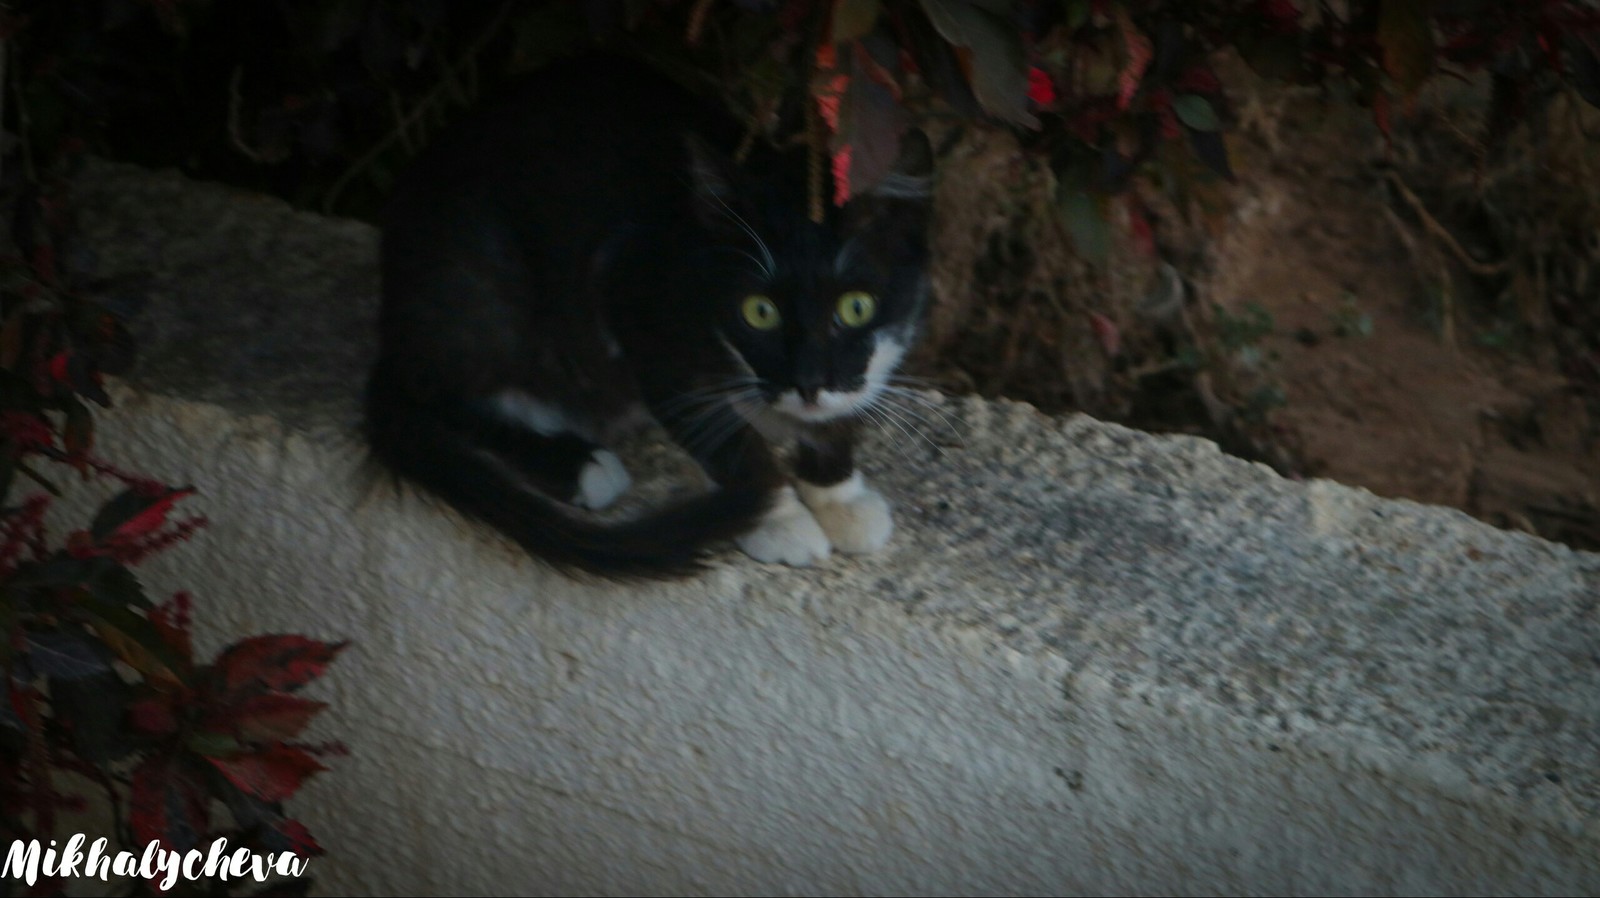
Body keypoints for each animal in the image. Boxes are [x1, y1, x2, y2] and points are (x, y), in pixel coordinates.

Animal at [363, 52, 934, 576]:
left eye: (855, 307)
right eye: (760, 311)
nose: (809, 382)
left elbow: (837, 416)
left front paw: (839, 494)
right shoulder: (630, 293)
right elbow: (720, 436)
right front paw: (778, 517)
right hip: (476, 282)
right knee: (443, 394)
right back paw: (577, 462)